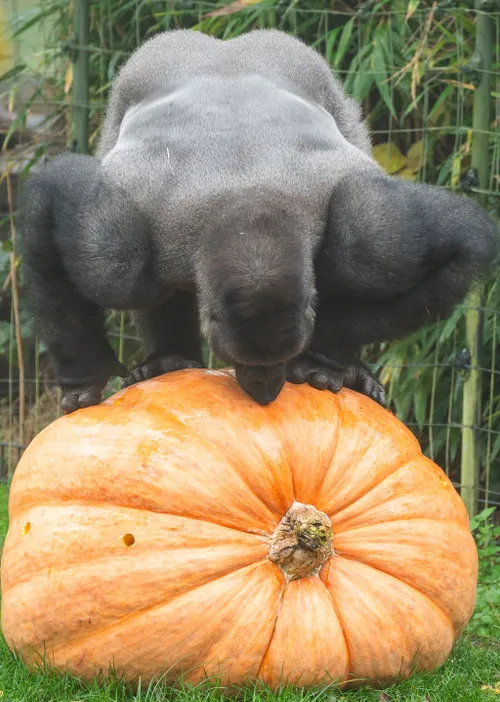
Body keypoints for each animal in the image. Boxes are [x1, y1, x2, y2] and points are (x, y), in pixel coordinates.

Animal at [20, 29, 498, 413]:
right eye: (245, 362)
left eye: (280, 361)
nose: (266, 386)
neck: (244, 201)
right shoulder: (112, 256)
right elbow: (48, 210)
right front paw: (86, 376)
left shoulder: (377, 242)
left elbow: (462, 246)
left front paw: (326, 355)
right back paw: (169, 358)